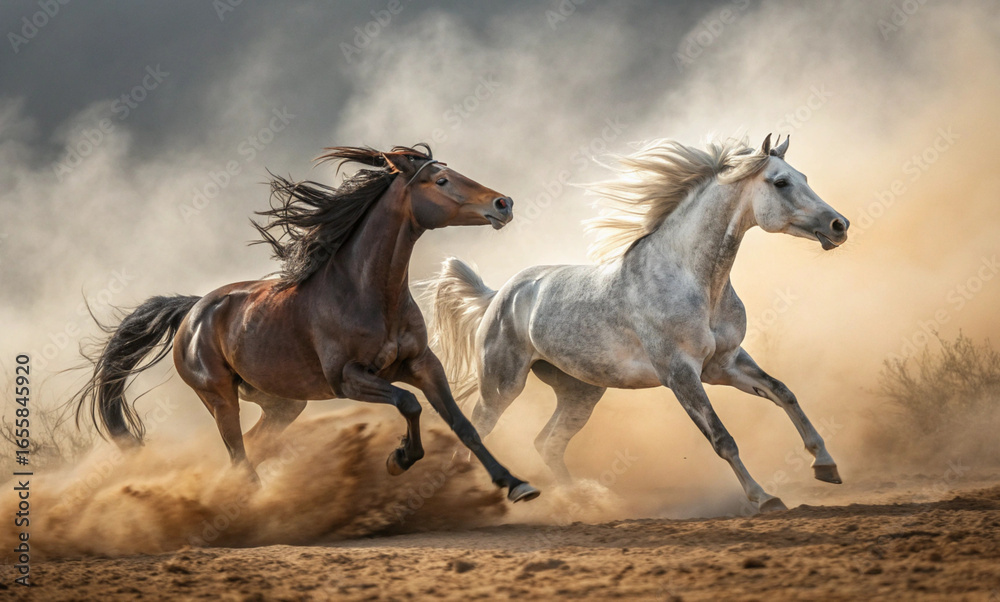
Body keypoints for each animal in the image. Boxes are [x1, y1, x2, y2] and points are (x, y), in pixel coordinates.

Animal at [74, 144, 540, 503]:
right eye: (440, 181)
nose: (503, 204)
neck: (367, 293)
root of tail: (192, 311)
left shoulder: (423, 364)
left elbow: (464, 424)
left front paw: (515, 483)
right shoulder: (349, 379)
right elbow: (408, 404)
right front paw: (399, 459)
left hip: (282, 403)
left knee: (252, 447)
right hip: (219, 397)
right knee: (238, 452)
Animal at [427, 135, 848, 512]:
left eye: (803, 176)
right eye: (781, 182)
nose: (839, 224)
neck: (694, 281)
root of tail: (499, 295)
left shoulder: (724, 364)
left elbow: (784, 393)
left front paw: (826, 466)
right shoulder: (681, 374)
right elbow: (722, 438)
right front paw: (765, 498)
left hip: (580, 392)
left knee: (548, 442)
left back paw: (580, 502)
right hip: (502, 387)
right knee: (477, 431)